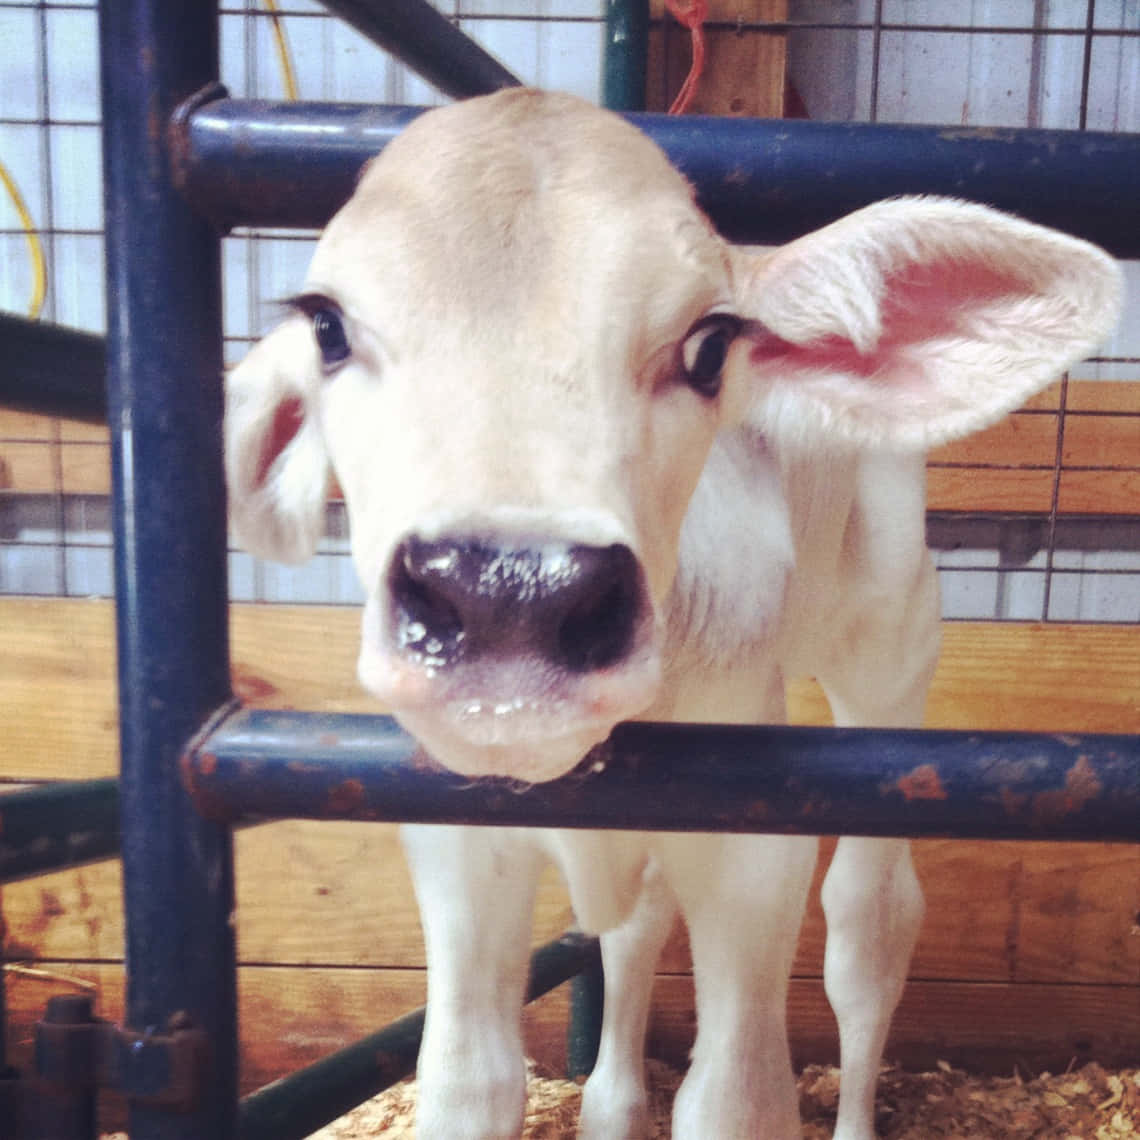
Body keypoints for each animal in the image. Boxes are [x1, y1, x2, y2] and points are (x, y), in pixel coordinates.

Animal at [224, 88, 1121, 1140]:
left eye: (709, 346)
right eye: (327, 326)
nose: (511, 590)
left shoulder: (753, 847)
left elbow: (736, 1096)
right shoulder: (457, 844)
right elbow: (469, 1081)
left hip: (893, 645)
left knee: (870, 923)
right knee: (640, 924)